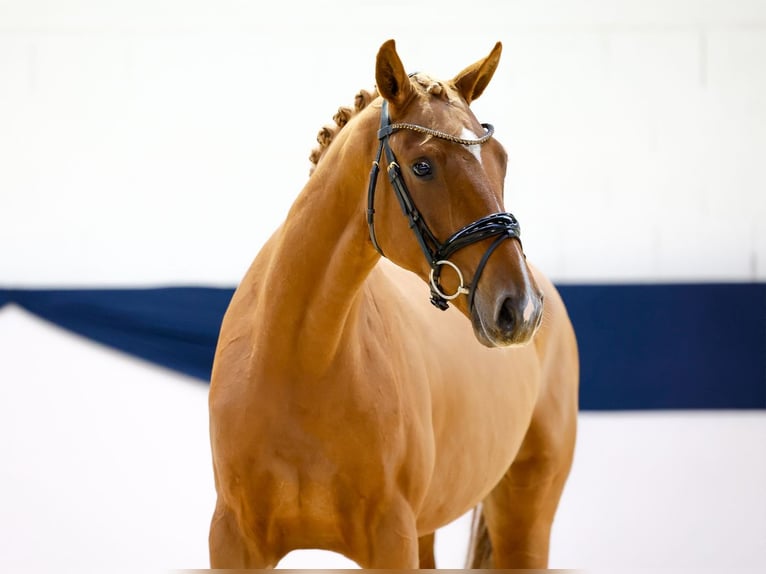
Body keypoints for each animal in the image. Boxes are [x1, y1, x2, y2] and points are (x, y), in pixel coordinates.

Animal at [207, 40, 580, 572]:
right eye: (423, 166)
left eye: (501, 159)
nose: (521, 308)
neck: (298, 360)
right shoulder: (232, 541)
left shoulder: (392, 540)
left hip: (525, 521)